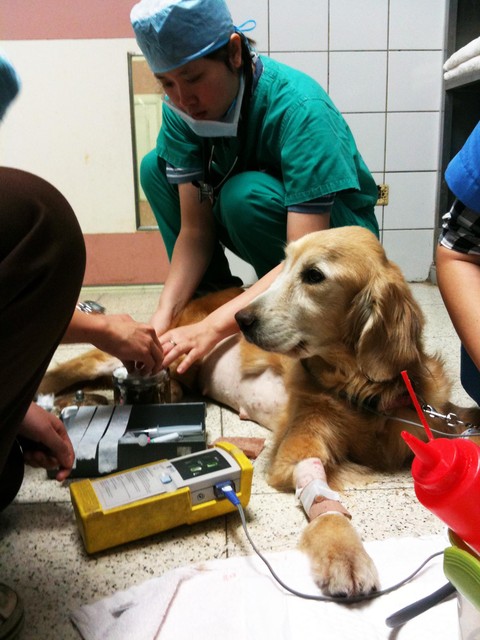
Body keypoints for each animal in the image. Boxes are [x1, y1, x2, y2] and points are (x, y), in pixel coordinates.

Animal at [40, 226, 480, 597]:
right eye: (283, 267)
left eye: (314, 275)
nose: (240, 319)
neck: (361, 391)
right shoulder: (298, 447)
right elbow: (324, 501)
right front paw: (343, 551)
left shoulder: (435, 419)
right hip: (152, 349)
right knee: (76, 364)